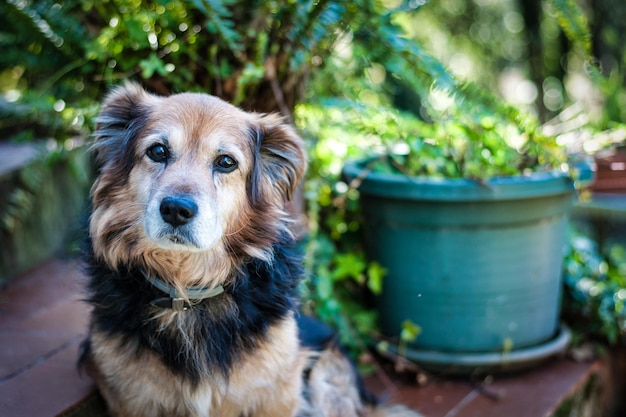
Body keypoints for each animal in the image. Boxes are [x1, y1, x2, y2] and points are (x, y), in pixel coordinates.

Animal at [78, 82, 420, 416]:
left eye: (226, 162)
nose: (176, 210)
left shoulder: (278, 395)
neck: (187, 290)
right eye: (158, 151)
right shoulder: (130, 400)